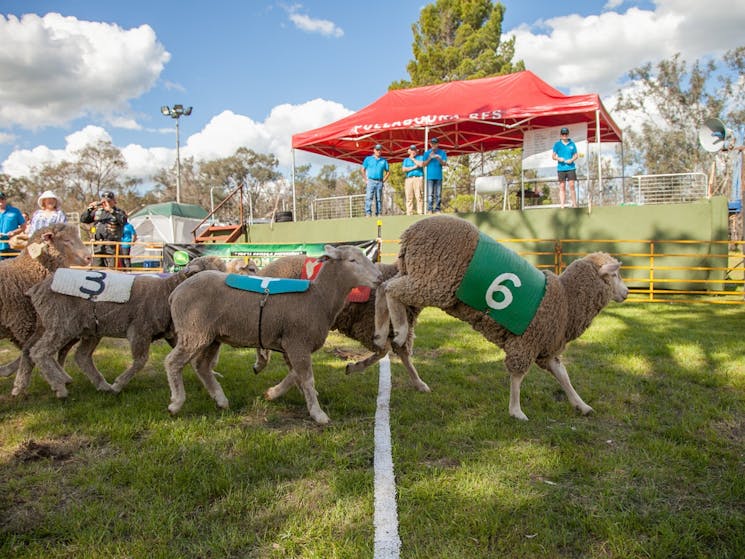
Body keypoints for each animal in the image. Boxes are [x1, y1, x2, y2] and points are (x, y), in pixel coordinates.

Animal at [0, 222, 91, 394]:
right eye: (66, 240)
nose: (89, 257)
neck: (26, 272)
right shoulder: (24, 323)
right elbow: (31, 351)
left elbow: (32, 351)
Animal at [163, 245, 384, 424]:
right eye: (352, 260)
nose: (380, 277)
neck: (320, 297)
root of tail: (175, 293)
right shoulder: (297, 342)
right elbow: (306, 378)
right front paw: (318, 413)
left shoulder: (293, 344)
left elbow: (296, 374)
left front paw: (273, 393)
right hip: (194, 331)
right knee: (173, 362)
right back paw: (176, 403)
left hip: (211, 336)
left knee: (202, 366)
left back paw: (221, 400)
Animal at [254, 255, 430, 392]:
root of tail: (265, 271)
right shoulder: (367, 327)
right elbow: (383, 351)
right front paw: (354, 367)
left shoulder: (398, 330)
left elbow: (404, 356)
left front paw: (420, 384)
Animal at [372, 214, 628, 420]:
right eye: (615, 275)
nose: (626, 293)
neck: (567, 300)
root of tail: (410, 232)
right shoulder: (526, 343)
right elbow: (517, 376)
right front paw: (516, 411)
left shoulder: (546, 350)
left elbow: (563, 376)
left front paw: (581, 405)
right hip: (434, 283)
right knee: (391, 290)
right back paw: (400, 331)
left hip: (417, 275)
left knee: (383, 288)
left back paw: (382, 333)